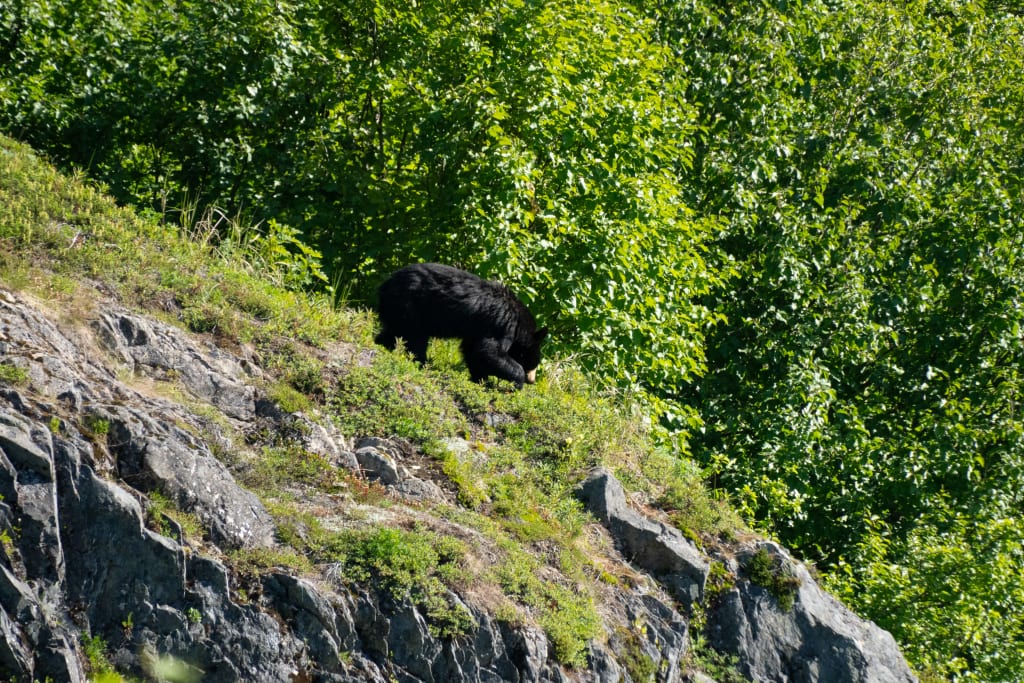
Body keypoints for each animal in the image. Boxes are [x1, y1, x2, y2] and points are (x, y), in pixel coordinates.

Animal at [374, 263, 548, 388]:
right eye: (534, 362)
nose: (532, 380)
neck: (518, 323)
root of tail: (384, 285)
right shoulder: (501, 324)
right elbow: (489, 351)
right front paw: (517, 381)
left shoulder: (477, 330)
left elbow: (473, 351)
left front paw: (482, 380)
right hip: (410, 306)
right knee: (415, 337)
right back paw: (421, 362)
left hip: (399, 309)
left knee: (395, 332)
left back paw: (382, 344)